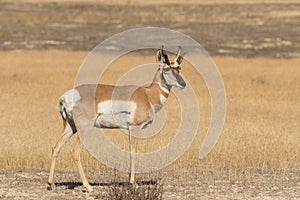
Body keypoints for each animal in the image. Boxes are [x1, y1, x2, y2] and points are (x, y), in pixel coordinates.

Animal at [48, 45, 186, 192]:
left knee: (56, 147)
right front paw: (133, 183)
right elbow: (133, 151)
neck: (147, 95)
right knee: (75, 152)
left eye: (179, 68)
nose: (183, 84)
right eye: (166, 68)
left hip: (70, 128)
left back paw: (52, 184)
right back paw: (88, 186)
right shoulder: (134, 128)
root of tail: (66, 97)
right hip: (85, 128)